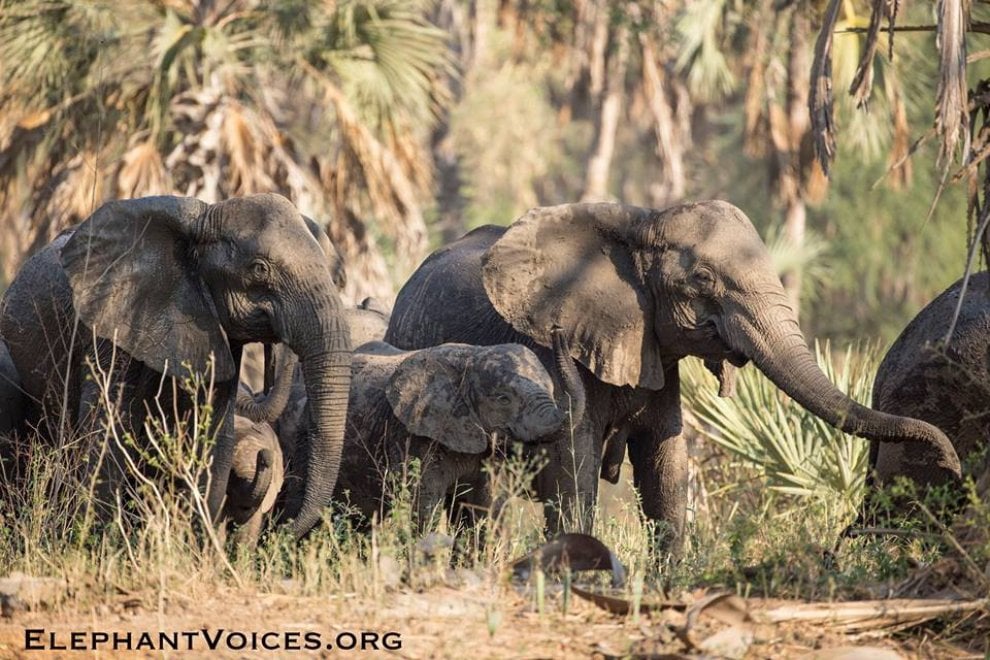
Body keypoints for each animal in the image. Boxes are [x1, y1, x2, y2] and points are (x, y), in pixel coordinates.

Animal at [384, 201, 961, 548]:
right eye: (703, 278)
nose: (953, 461)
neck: (638, 223)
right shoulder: (549, 348)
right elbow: (573, 460)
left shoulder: (654, 353)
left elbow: (665, 459)